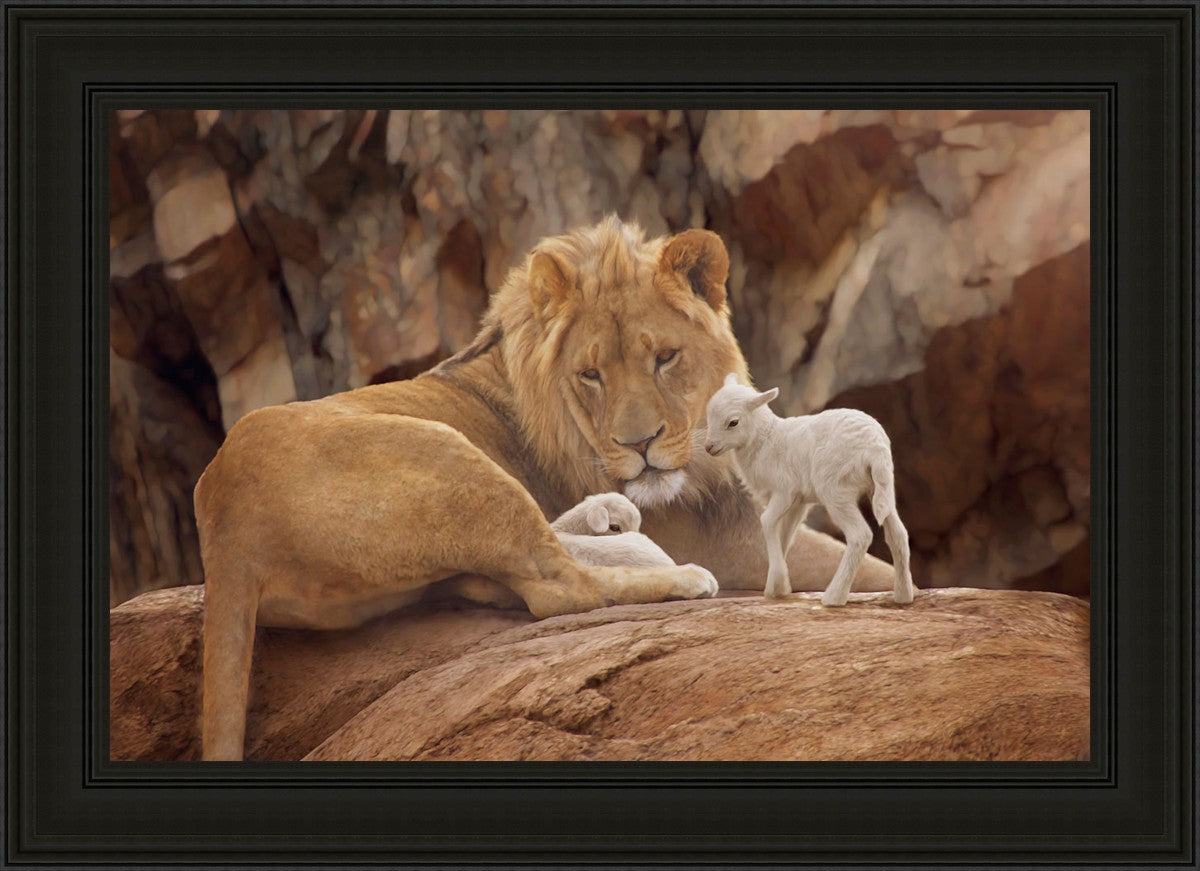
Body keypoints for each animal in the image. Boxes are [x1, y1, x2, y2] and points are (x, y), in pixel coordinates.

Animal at [703, 374, 915, 606]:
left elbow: (766, 521)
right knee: (898, 534)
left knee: (860, 535)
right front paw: (777, 587)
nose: (708, 447)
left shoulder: (784, 491)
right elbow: (785, 534)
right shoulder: (798, 502)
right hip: (881, 487)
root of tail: (875, 448)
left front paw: (778, 582)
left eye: (733, 422)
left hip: (835, 489)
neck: (765, 440)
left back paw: (834, 596)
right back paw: (903, 595)